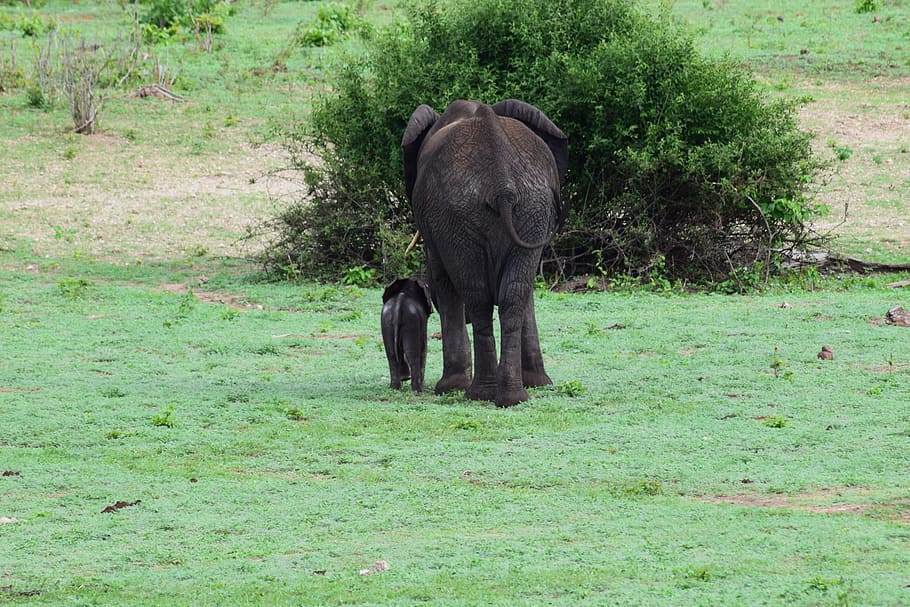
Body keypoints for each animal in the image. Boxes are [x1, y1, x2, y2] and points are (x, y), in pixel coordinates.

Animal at [401, 99, 568, 407]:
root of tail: (502, 184)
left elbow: (442, 280)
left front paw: (449, 388)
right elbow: (524, 290)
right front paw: (538, 383)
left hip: (458, 216)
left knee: (476, 297)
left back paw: (478, 393)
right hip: (529, 209)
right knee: (512, 295)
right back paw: (512, 397)